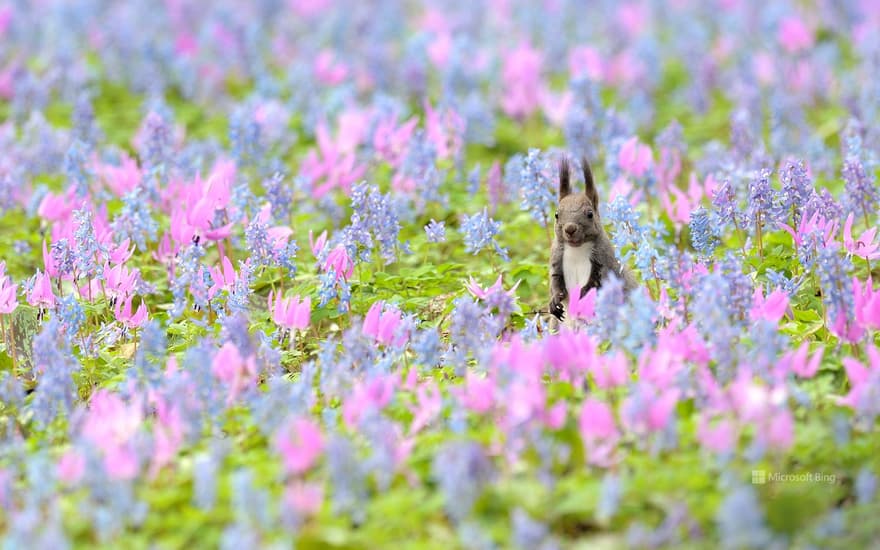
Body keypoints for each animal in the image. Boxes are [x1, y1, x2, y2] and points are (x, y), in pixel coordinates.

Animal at [552, 157, 632, 326]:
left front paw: (582, 295)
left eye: (590, 214)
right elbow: (555, 280)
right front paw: (554, 301)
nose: (570, 229)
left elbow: (595, 284)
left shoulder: (604, 261)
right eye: (556, 214)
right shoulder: (557, 257)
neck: (577, 249)